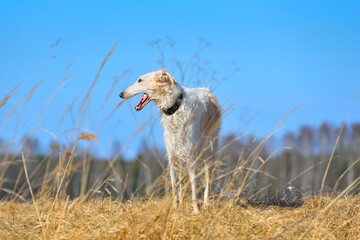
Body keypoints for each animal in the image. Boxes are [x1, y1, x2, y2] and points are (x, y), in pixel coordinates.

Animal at [119, 69, 221, 212]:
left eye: (140, 80)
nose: (120, 94)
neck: (176, 107)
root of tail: (207, 91)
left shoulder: (191, 156)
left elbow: (194, 185)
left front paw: (196, 210)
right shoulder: (173, 156)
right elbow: (175, 186)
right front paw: (175, 208)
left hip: (208, 151)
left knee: (207, 179)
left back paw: (206, 204)